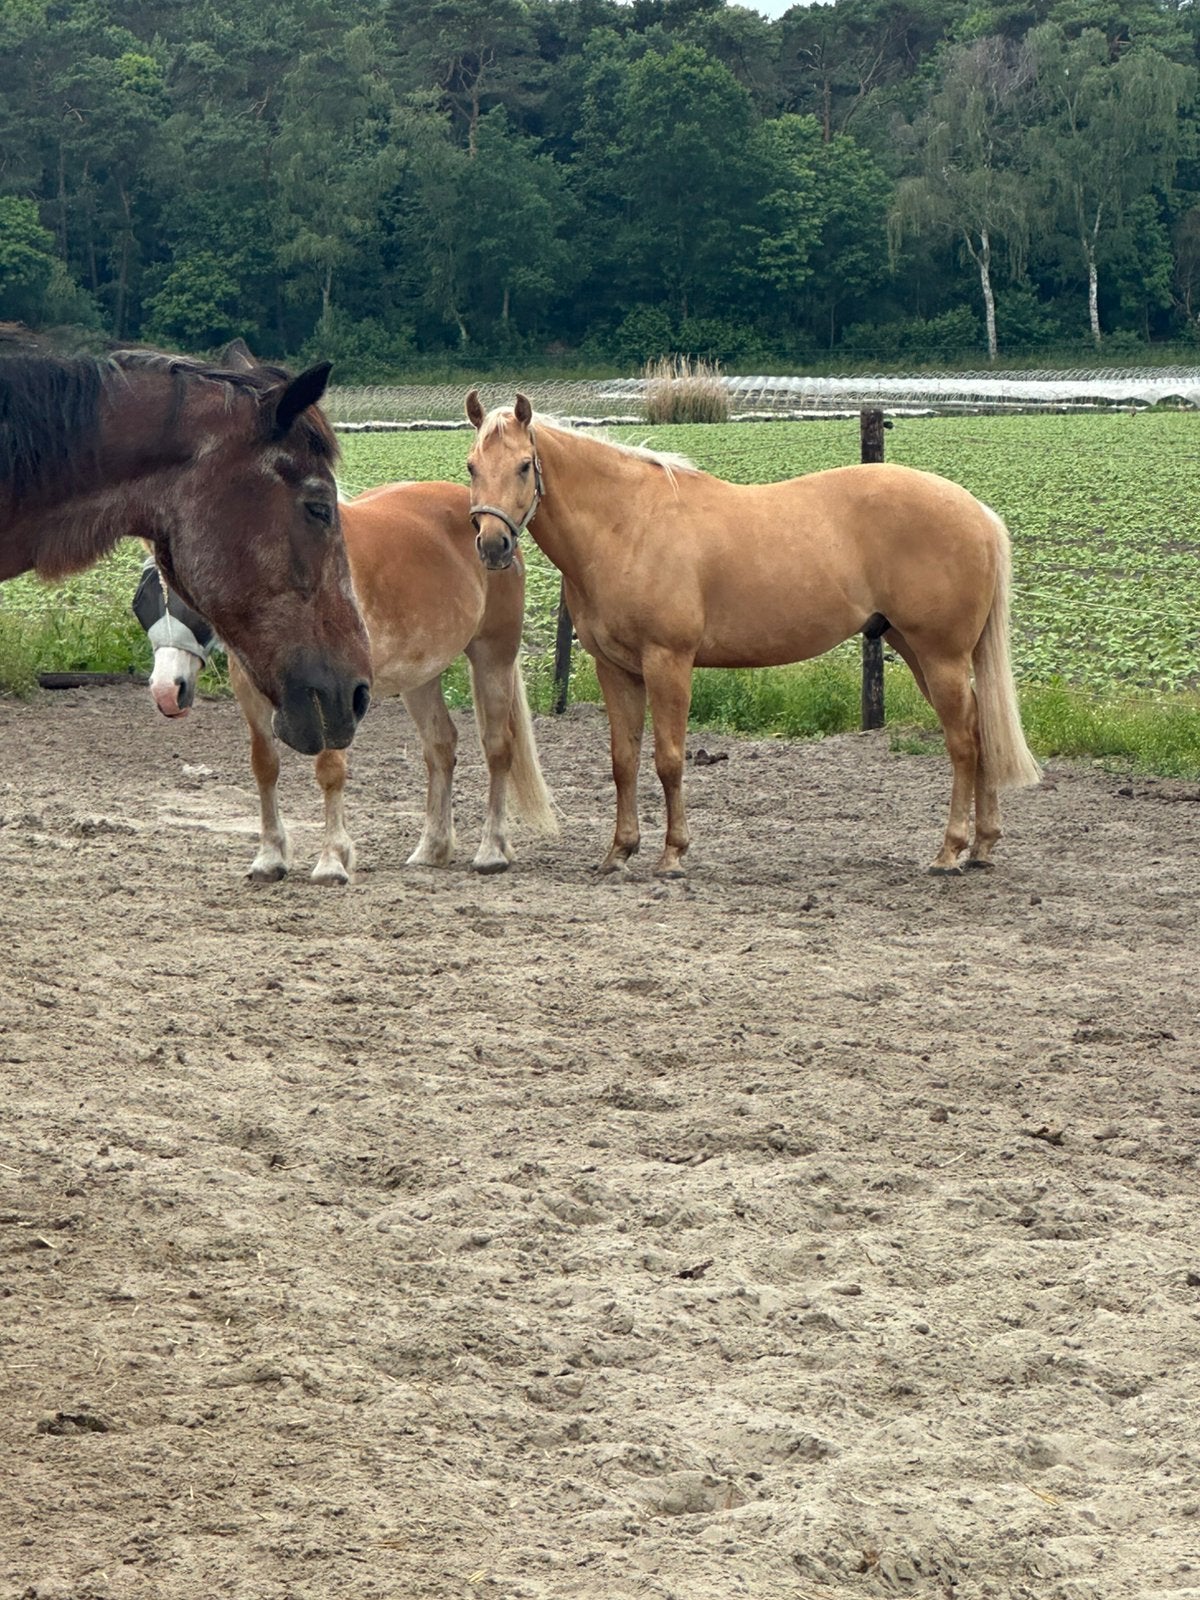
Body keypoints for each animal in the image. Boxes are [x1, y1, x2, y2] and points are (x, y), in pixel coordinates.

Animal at [134, 480, 556, 883]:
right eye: (143, 603)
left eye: (195, 602)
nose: (167, 691)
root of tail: (492, 525)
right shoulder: (251, 694)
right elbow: (265, 766)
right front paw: (270, 858)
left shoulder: (332, 694)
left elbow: (330, 769)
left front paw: (332, 860)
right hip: (420, 675)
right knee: (440, 746)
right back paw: (432, 850)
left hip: (493, 655)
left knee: (498, 747)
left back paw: (492, 850)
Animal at [465, 390, 1041, 877]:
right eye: (471, 466)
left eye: (523, 465)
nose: (492, 545)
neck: (627, 525)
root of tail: (977, 512)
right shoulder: (616, 668)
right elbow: (623, 761)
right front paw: (619, 852)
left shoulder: (668, 661)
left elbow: (669, 758)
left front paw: (673, 855)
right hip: (917, 650)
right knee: (980, 730)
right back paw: (982, 846)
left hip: (940, 656)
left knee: (963, 741)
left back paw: (950, 851)